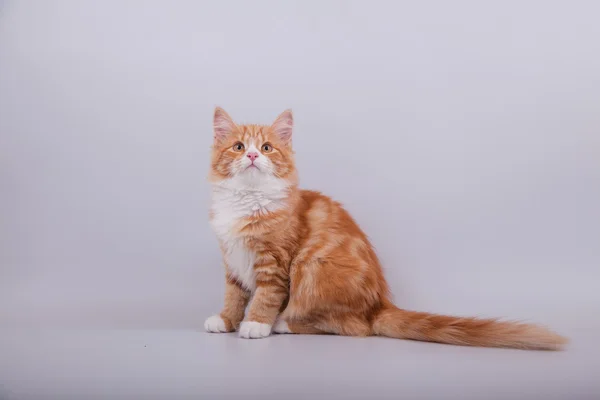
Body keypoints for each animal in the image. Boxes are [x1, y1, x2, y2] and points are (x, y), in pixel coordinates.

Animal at [205, 107, 568, 350]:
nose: (253, 155)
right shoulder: (232, 260)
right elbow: (234, 296)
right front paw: (226, 320)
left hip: (314, 268)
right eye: (239, 147)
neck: (247, 200)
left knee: (354, 327)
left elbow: (264, 296)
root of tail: (379, 304)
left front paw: (255, 324)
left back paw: (283, 323)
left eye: (266, 148)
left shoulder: (275, 262)